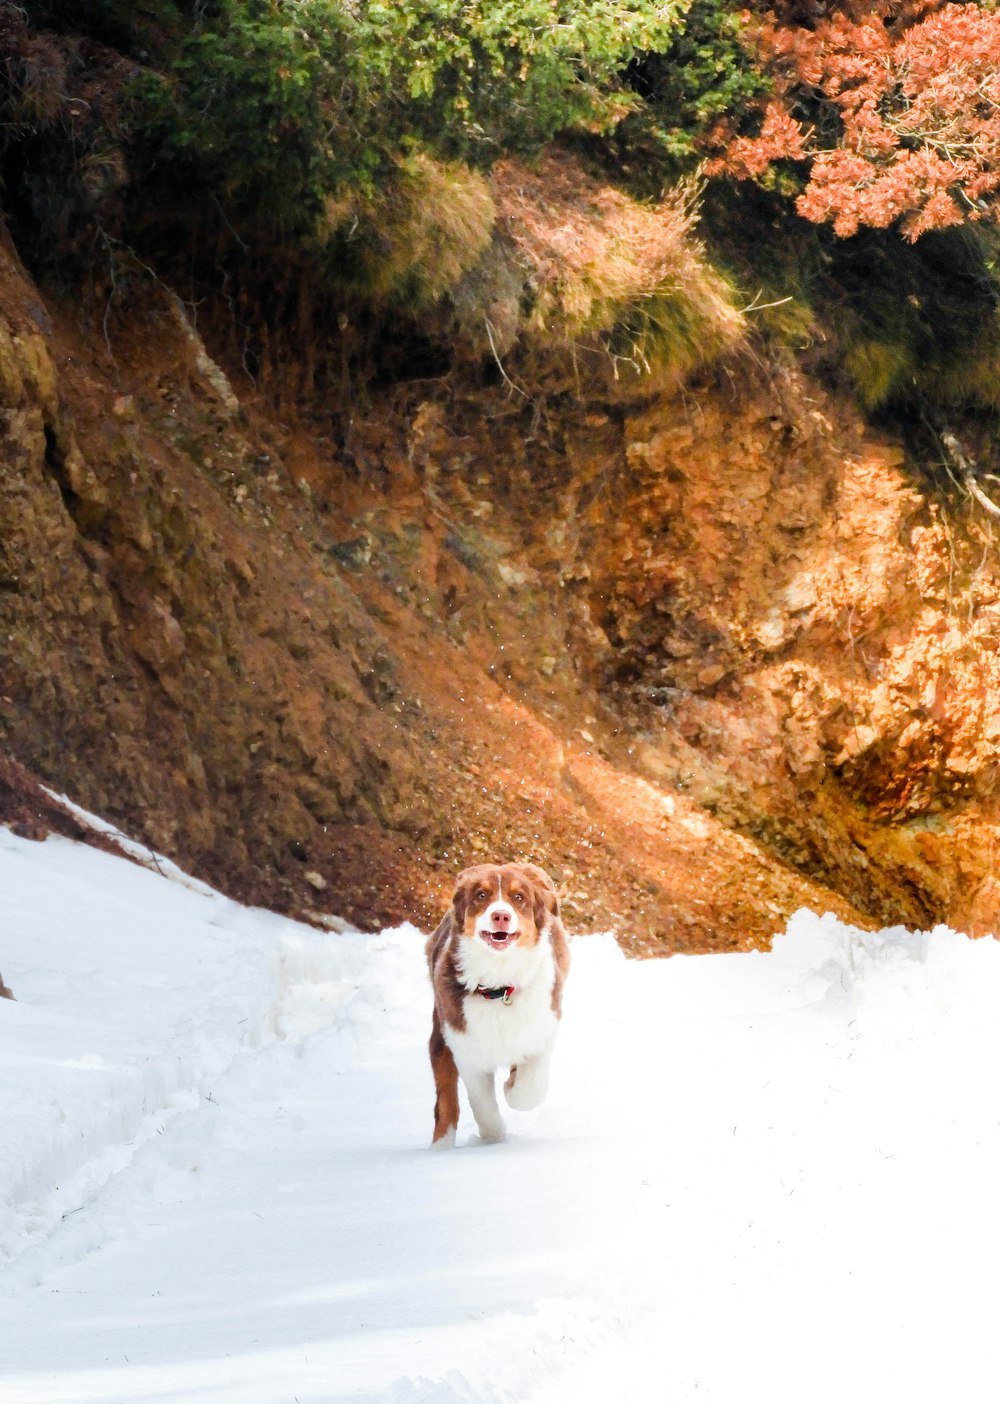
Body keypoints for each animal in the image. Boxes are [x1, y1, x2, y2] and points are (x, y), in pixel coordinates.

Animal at [426, 859, 570, 1145]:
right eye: (481, 895)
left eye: (519, 897)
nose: (501, 916)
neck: (500, 986)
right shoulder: (465, 1046)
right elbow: (482, 1104)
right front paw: (495, 1140)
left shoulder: (545, 1025)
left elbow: (529, 1089)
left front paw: (511, 1085)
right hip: (440, 1033)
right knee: (446, 1099)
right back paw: (441, 1147)